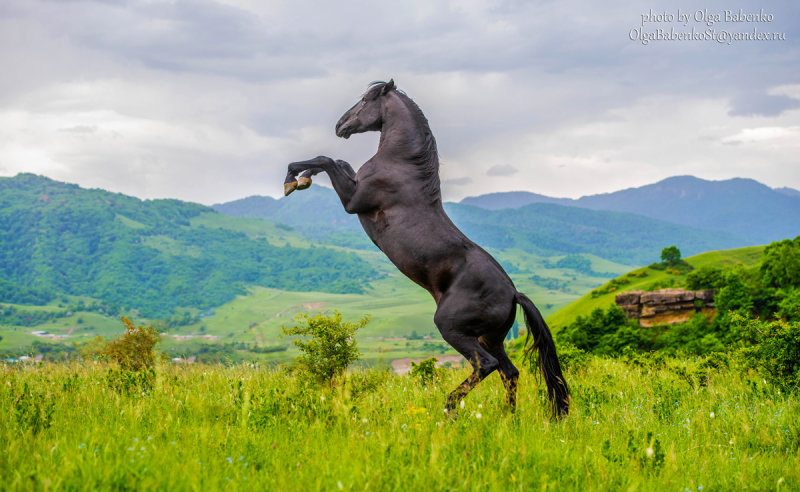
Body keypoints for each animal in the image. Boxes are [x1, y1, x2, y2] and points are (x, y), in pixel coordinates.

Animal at [282, 80, 568, 416]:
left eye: (364, 100)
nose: (340, 125)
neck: (401, 165)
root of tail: (513, 293)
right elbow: (337, 161)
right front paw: (302, 179)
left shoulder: (353, 201)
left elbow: (327, 160)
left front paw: (292, 180)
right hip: (490, 336)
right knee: (509, 371)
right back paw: (505, 419)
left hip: (453, 328)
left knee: (486, 365)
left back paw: (450, 408)